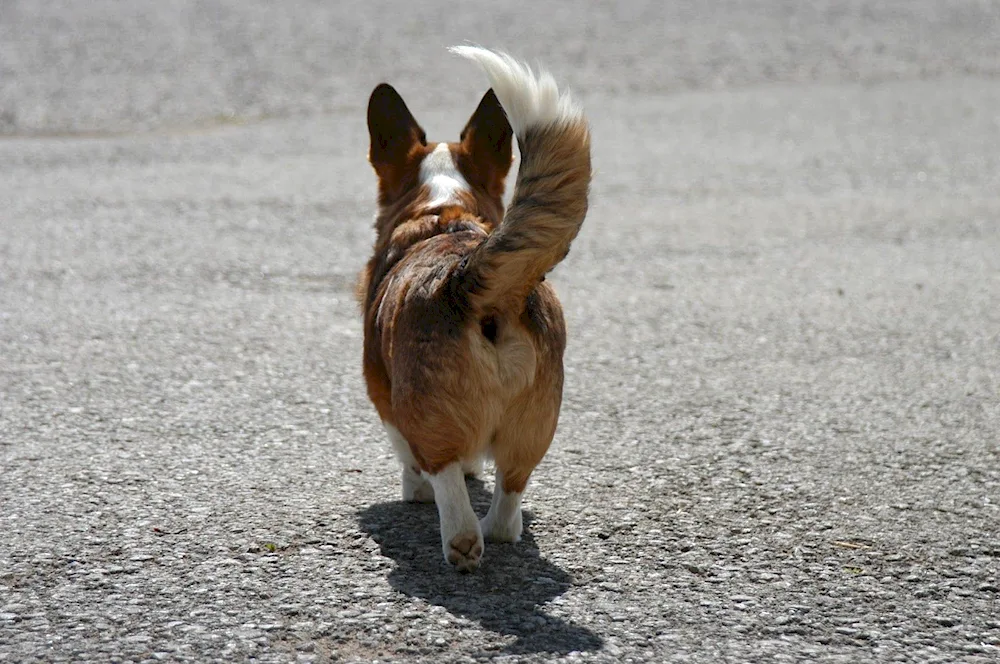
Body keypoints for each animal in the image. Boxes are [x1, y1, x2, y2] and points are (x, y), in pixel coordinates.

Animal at [360, 46, 588, 572]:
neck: (441, 210)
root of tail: (470, 282)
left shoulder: (382, 391)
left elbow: (407, 454)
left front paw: (414, 490)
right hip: (536, 424)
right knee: (510, 496)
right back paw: (496, 529)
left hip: (426, 411)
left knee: (445, 480)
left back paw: (461, 541)